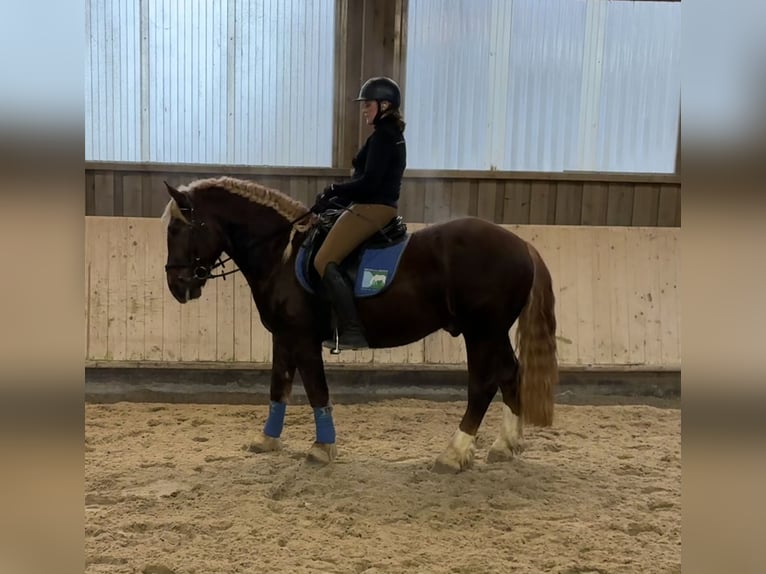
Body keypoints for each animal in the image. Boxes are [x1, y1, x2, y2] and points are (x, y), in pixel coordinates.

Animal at [160, 176, 558, 473]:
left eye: (178, 230)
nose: (178, 286)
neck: (281, 254)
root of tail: (522, 244)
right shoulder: (283, 337)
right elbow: (278, 387)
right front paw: (267, 440)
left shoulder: (303, 338)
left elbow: (317, 390)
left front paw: (322, 448)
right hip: (494, 332)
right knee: (510, 372)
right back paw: (505, 445)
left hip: (481, 332)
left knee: (484, 383)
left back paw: (454, 453)